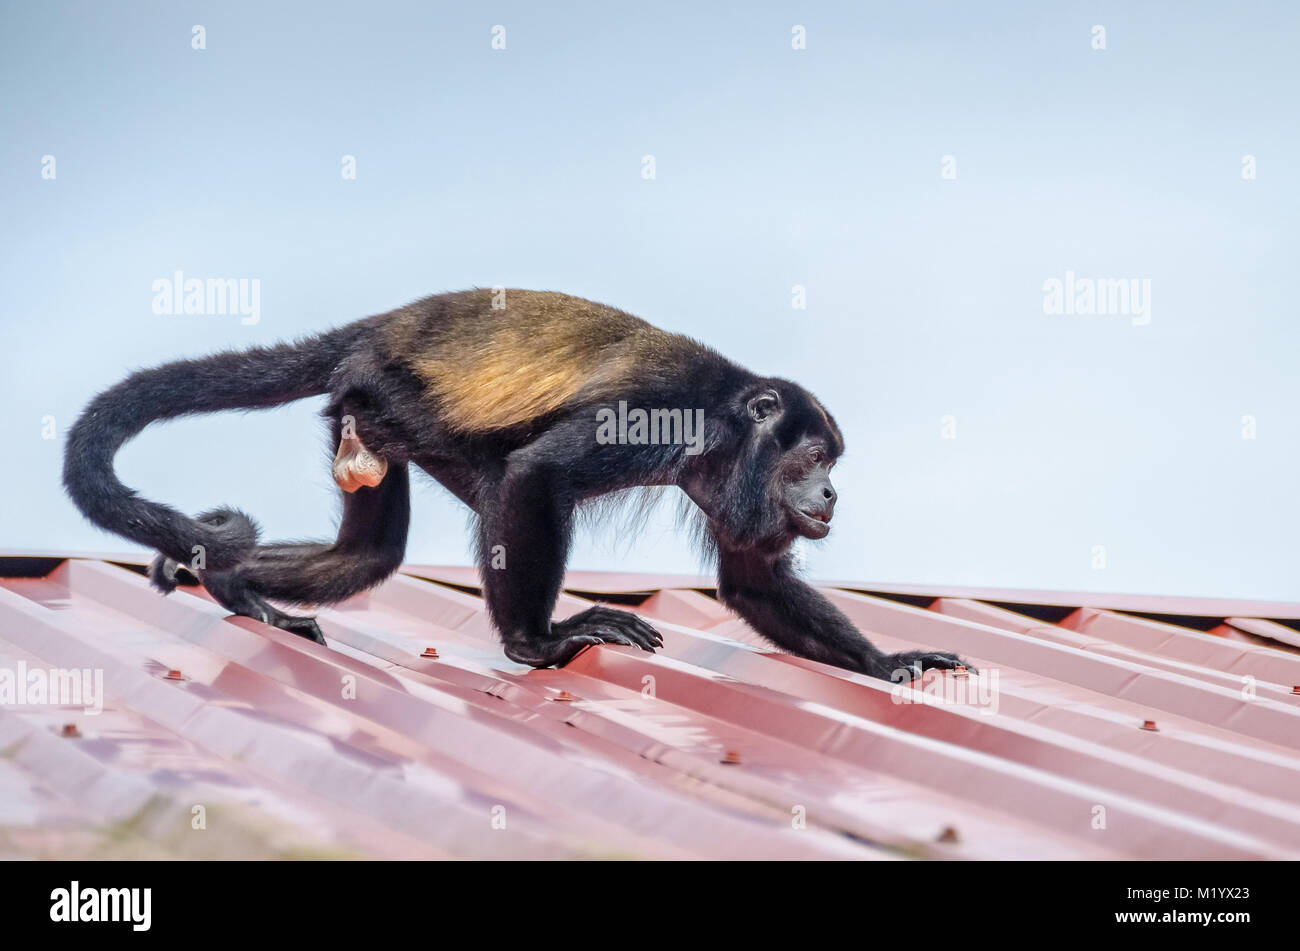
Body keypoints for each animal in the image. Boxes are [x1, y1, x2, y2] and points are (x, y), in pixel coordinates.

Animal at [65, 288, 972, 675]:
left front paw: (892, 661)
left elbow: (752, 579)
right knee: (509, 482)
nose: (832, 495)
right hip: (400, 394)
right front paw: (541, 642)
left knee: (369, 555)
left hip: (367, 415)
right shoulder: (661, 414)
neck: (728, 420)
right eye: (813, 459)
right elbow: (541, 472)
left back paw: (234, 586)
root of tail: (371, 329)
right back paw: (538, 635)